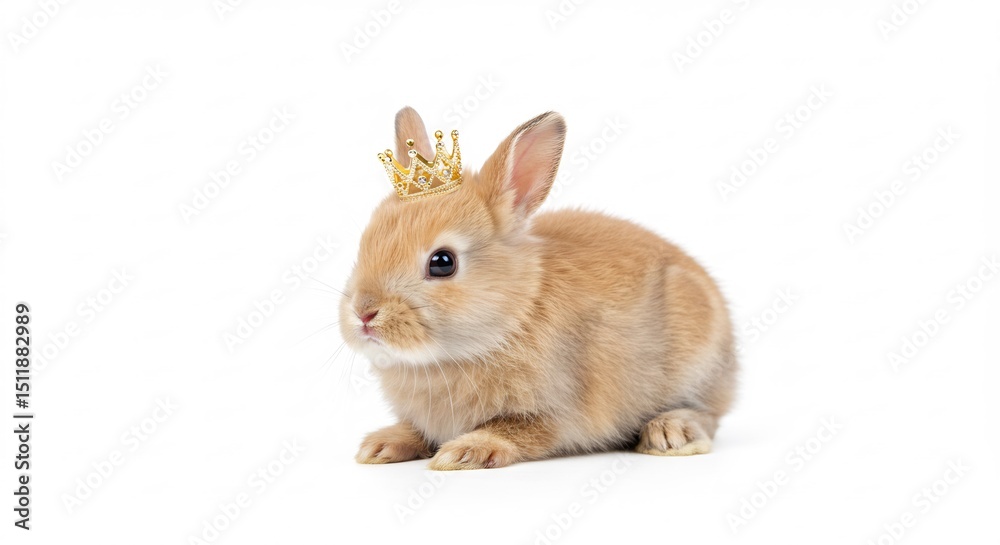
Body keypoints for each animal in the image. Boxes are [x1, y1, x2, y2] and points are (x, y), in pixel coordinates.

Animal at [339, 107, 737, 470]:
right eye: (365, 244)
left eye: (442, 262)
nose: (364, 313)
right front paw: (380, 446)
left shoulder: (558, 412)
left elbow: (520, 431)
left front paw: (464, 452)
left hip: (698, 367)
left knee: (708, 416)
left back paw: (671, 433)